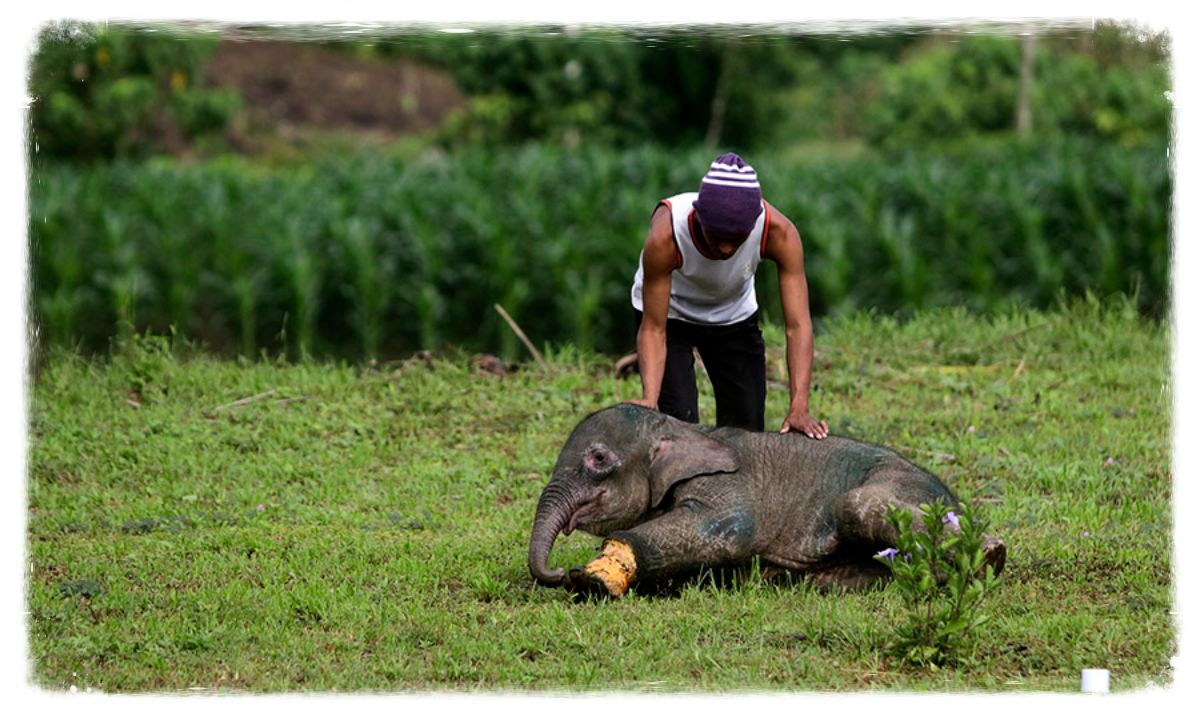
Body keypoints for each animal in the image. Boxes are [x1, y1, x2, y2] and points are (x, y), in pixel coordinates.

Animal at [525, 403, 1003, 600]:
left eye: (598, 459)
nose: (556, 572)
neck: (684, 429)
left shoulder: (727, 485)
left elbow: (731, 529)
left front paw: (591, 578)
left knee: (858, 505)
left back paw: (987, 557)